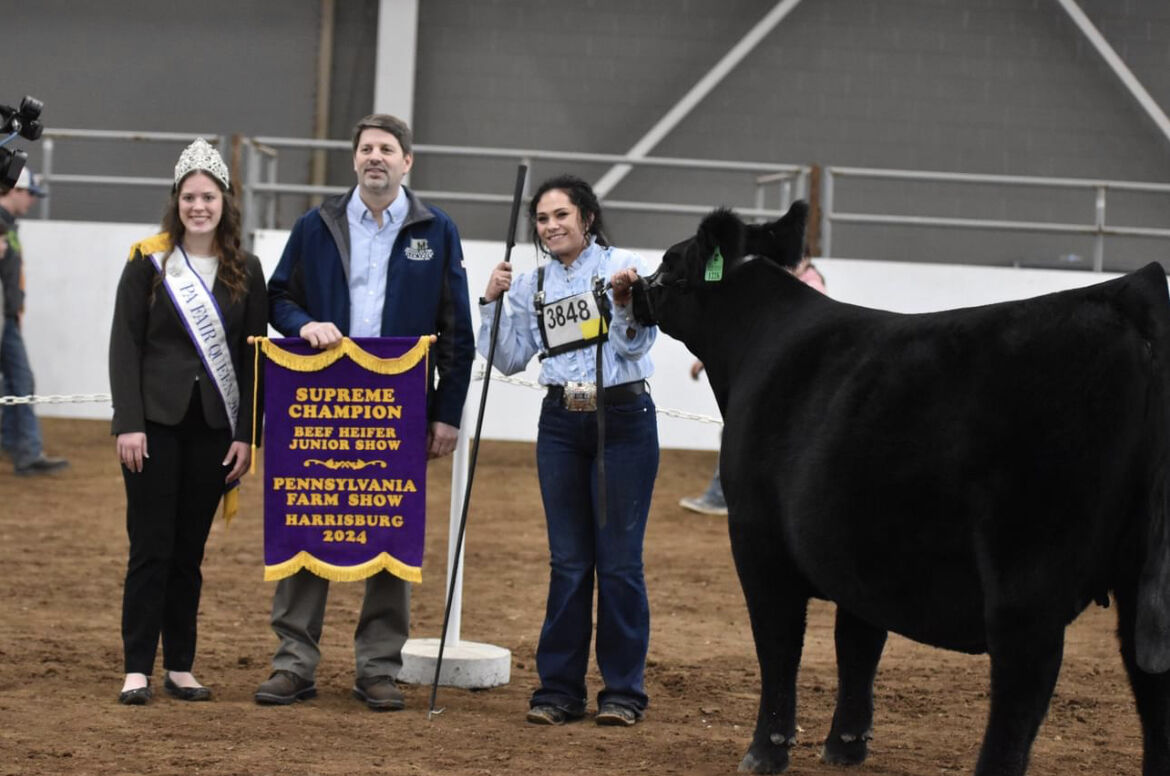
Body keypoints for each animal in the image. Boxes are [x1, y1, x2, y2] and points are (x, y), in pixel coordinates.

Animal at [631, 204, 1170, 776]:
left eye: (670, 261)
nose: (629, 288)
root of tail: (1136, 289)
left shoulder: (758, 541)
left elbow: (779, 646)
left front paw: (764, 752)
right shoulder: (857, 551)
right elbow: (858, 645)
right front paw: (846, 745)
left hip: (1027, 568)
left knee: (1025, 683)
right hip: (1140, 574)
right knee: (1151, 685)